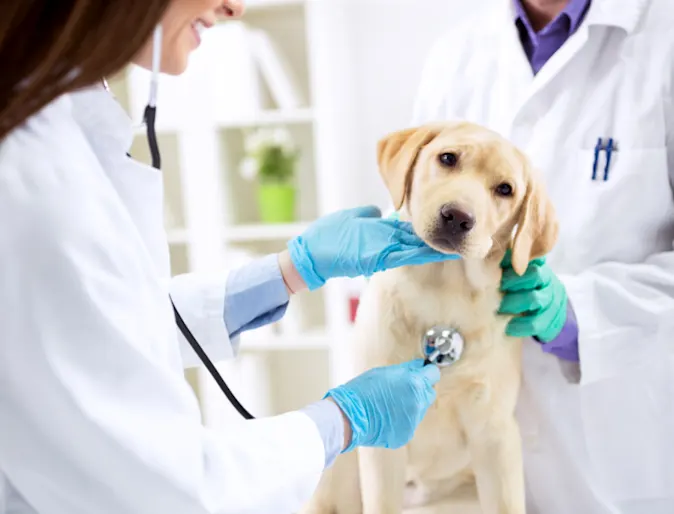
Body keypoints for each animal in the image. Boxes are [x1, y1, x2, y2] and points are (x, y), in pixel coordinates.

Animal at [300, 121, 556, 512]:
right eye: (447, 158)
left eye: (505, 190)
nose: (458, 216)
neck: (445, 292)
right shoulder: (382, 444)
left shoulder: (496, 436)